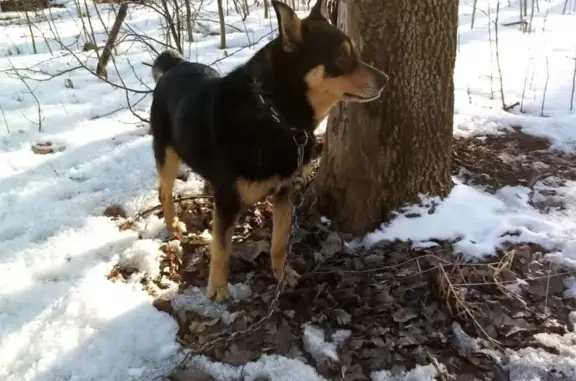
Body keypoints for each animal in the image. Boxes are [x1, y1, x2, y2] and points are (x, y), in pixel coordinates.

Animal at [151, 0, 390, 302]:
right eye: (342, 58)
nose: (386, 79)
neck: (275, 116)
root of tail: (175, 64)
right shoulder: (227, 201)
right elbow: (221, 249)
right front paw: (217, 287)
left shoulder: (286, 192)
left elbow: (279, 241)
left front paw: (282, 274)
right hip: (167, 154)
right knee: (164, 191)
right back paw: (173, 225)